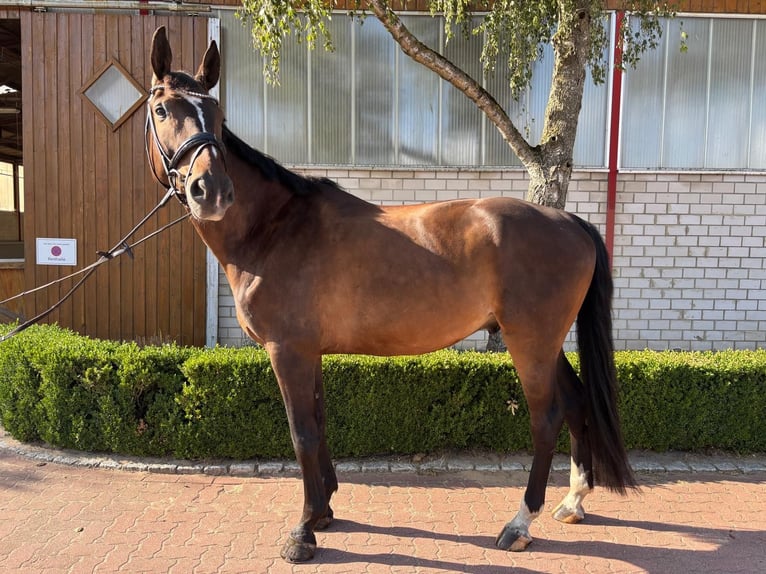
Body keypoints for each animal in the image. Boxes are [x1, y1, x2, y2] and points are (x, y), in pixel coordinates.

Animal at [146, 26, 636, 563]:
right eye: (162, 109)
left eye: (216, 114)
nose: (210, 190)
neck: (274, 228)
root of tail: (569, 220)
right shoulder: (309, 352)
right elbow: (319, 424)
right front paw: (324, 511)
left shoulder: (287, 350)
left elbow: (302, 433)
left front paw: (303, 531)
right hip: (545, 342)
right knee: (576, 400)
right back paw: (573, 501)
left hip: (530, 341)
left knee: (545, 418)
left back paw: (519, 523)